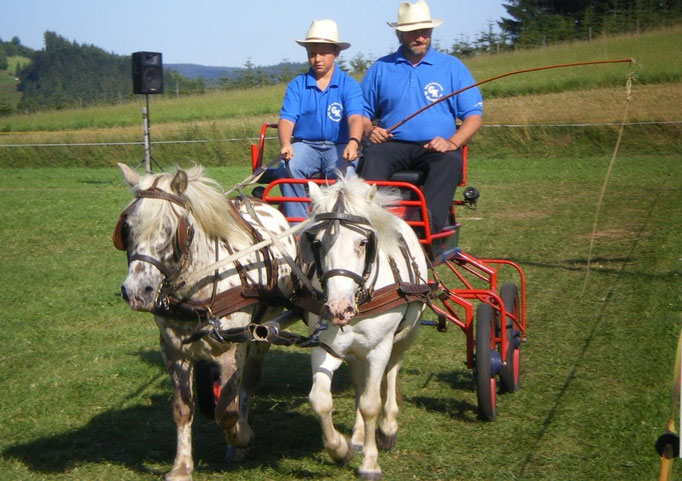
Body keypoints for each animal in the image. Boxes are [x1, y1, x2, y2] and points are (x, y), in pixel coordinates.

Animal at [114, 164, 294, 480]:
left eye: (170, 229)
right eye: (126, 228)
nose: (137, 291)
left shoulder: (230, 348)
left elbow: (226, 411)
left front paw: (241, 436)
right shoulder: (173, 350)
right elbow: (182, 408)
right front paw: (182, 466)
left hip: (263, 331)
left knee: (248, 382)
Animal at [302, 173, 424, 480]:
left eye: (361, 243)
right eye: (317, 243)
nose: (338, 308)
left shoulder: (379, 349)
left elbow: (371, 403)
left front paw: (370, 462)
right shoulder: (325, 347)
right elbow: (320, 400)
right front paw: (341, 448)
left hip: (406, 335)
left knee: (391, 372)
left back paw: (388, 427)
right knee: (360, 380)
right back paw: (357, 437)